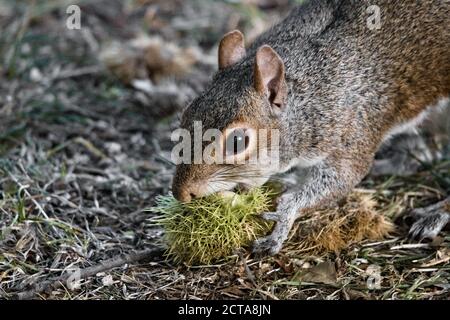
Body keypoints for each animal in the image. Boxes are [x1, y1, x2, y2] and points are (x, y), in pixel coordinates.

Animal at [171, 0, 448, 255]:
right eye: (186, 114)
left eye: (237, 142)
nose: (181, 194)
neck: (309, 94)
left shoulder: (353, 129)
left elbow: (341, 179)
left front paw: (283, 217)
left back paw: (437, 213)